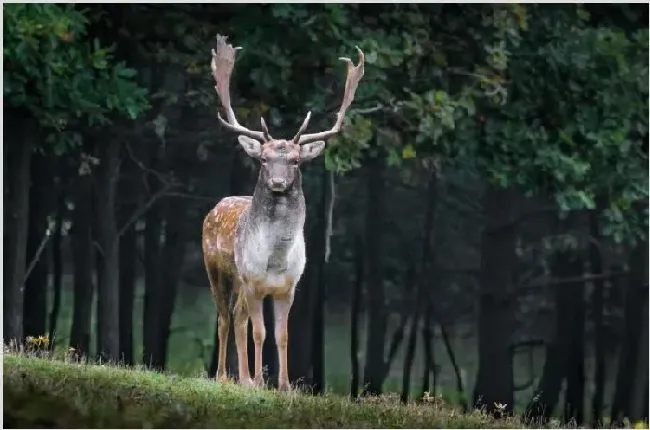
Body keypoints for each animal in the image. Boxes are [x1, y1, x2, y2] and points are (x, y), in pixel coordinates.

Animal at [201, 34, 364, 390]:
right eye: (263, 159)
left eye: (295, 161)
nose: (277, 182)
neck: (275, 259)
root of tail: (215, 207)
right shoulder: (253, 282)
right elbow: (260, 333)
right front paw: (260, 381)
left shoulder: (288, 287)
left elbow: (282, 335)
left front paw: (285, 385)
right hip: (217, 270)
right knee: (224, 318)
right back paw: (225, 376)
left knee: (237, 318)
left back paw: (243, 378)